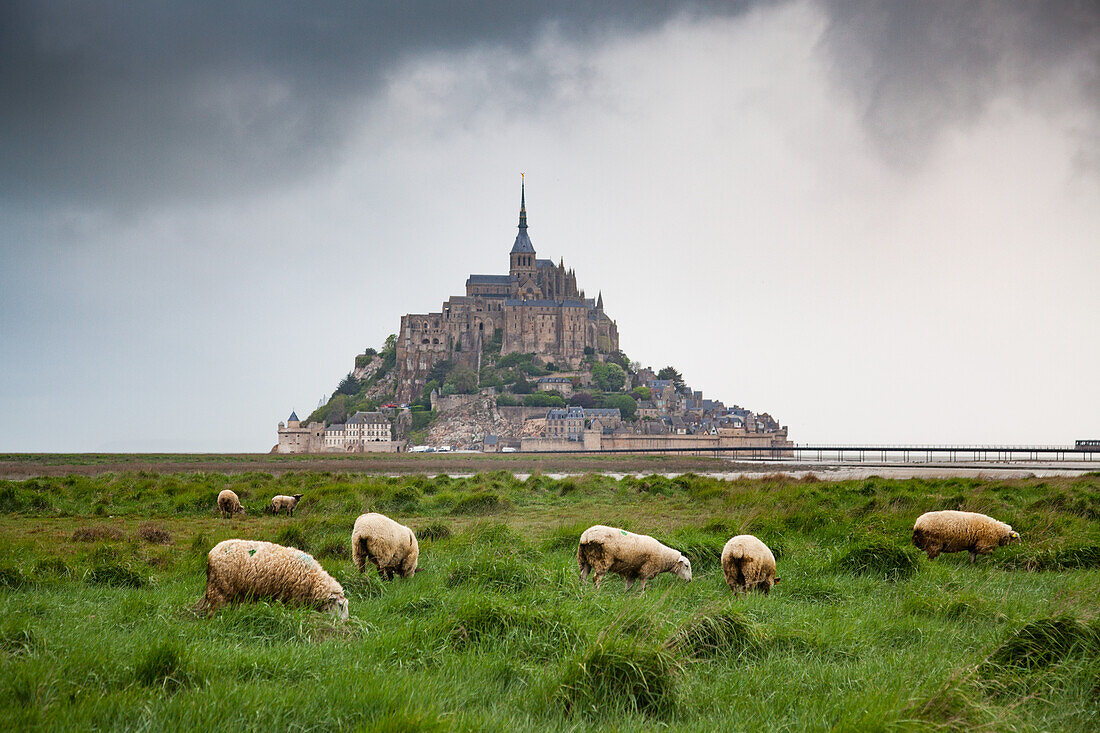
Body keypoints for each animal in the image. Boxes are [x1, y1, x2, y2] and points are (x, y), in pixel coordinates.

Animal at [195, 537, 345, 616]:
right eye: (341, 606)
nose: (343, 623)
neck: (313, 580)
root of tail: (212, 552)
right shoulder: (291, 599)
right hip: (219, 588)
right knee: (215, 607)